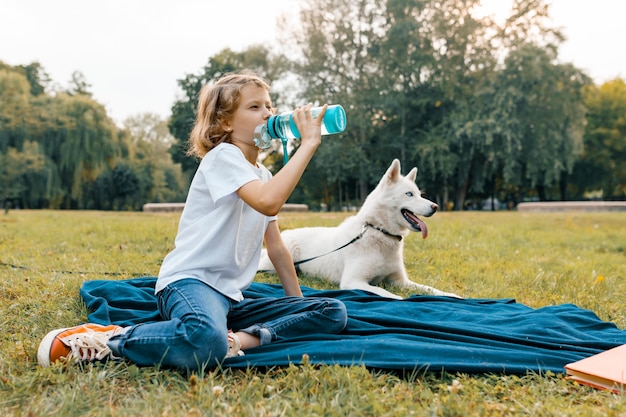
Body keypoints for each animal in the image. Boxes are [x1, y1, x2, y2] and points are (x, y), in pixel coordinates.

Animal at [258, 158, 458, 298]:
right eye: (409, 194)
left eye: (419, 194)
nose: (435, 207)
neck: (379, 230)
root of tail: (286, 233)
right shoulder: (353, 282)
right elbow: (393, 296)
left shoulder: (401, 281)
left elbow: (431, 289)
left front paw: (451, 295)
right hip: (276, 263)